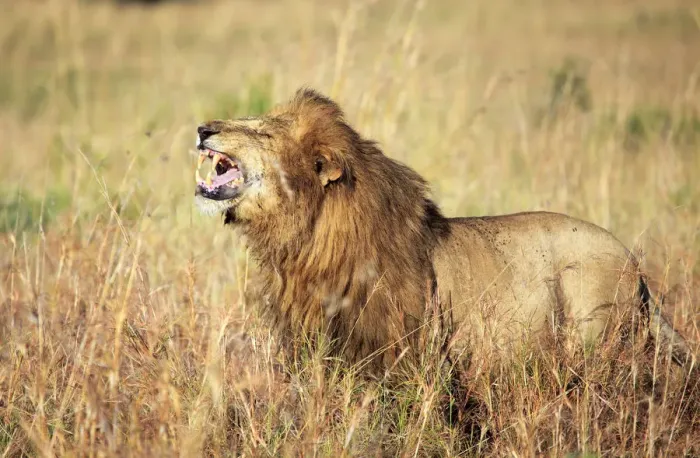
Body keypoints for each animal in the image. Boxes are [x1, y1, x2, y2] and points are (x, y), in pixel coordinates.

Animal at [193, 88, 693, 372]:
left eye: (263, 132)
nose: (202, 129)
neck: (305, 237)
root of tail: (635, 265)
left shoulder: (396, 351)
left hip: (592, 337)